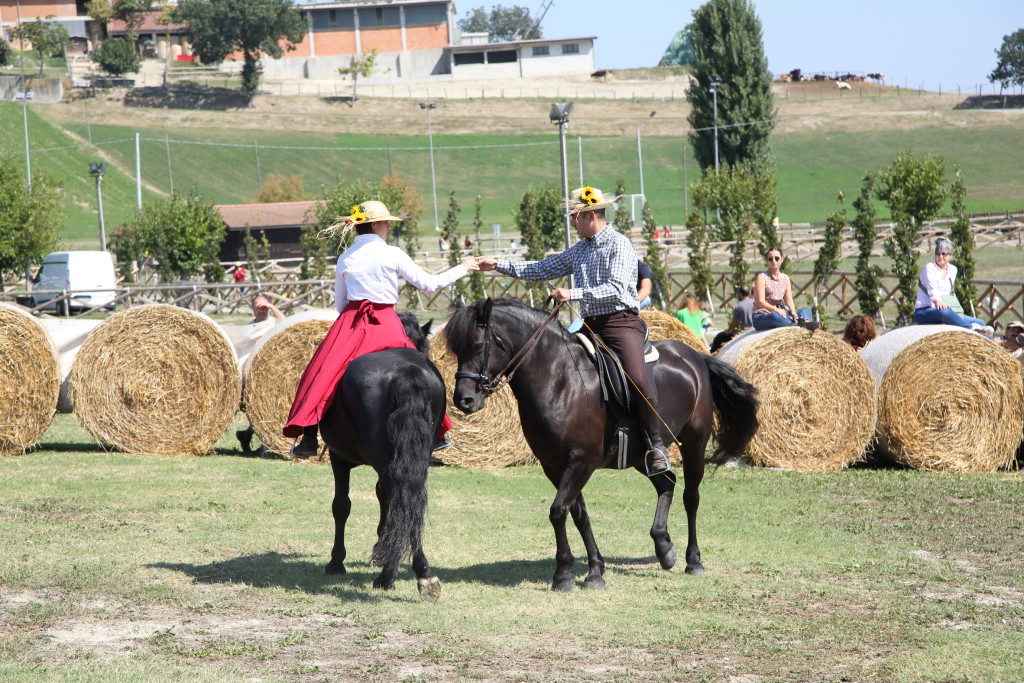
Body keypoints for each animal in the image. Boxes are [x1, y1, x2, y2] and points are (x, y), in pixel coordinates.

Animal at [317, 313, 442, 602]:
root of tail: (407, 371)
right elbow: (384, 497)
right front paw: (381, 549)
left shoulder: (338, 457)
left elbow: (341, 505)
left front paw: (336, 561)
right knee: (413, 499)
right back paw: (423, 573)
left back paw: (387, 577)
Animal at [448, 299, 761, 593]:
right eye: (456, 351)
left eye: (478, 346)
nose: (464, 401)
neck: (559, 379)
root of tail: (695, 356)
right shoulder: (554, 465)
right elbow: (579, 514)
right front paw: (595, 571)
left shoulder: (581, 461)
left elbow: (558, 511)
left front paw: (563, 575)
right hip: (641, 456)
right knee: (667, 483)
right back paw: (664, 548)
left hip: (694, 444)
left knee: (690, 497)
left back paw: (693, 560)